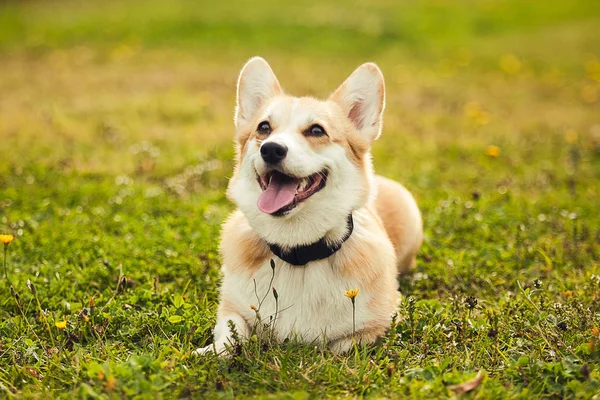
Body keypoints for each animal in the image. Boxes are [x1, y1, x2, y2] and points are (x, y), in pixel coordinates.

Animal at [197, 57, 422, 354]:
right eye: (263, 127)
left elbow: (341, 347)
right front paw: (212, 352)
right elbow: (232, 332)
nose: (270, 149)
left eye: (317, 130)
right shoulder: (230, 307)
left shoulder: (378, 324)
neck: (298, 250)